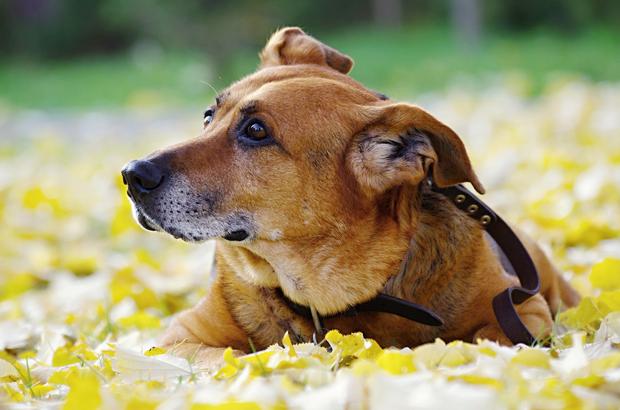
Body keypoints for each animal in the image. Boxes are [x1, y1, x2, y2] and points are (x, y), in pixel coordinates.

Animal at [122, 28, 580, 368]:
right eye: (208, 116)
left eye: (256, 131)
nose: (131, 174)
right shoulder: (179, 338)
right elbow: (231, 358)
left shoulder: (523, 314)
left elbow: (480, 342)